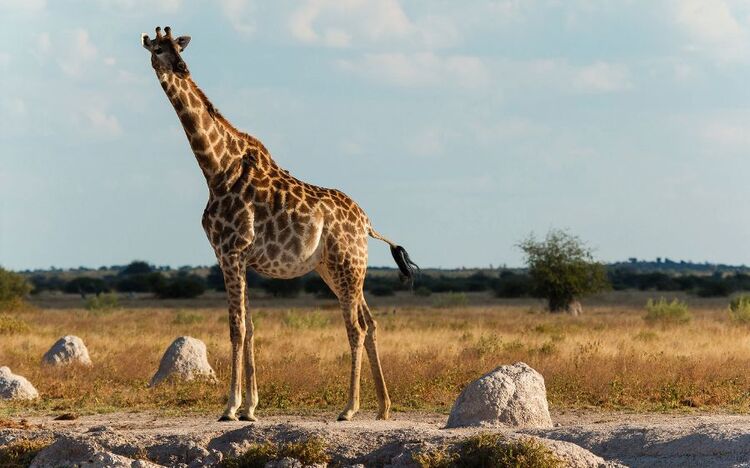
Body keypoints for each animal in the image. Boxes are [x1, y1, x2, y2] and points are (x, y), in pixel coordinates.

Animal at [141, 27, 418, 422]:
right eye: (159, 49)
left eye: (178, 48)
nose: (181, 68)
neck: (215, 169)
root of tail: (367, 222)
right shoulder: (235, 258)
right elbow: (251, 328)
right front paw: (250, 408)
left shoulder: (231, 252)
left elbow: (237, 328)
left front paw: (231, 407)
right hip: (338, 269)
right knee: (371, 322)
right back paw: (383, 407)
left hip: (346, 266)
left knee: (356, 328)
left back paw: (349, 408)